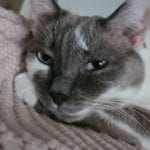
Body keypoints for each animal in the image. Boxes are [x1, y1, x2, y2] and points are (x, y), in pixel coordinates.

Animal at [14, 0, 150, 149]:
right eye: (44, 58)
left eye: (98, 64)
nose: (58, 95)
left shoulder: (142, 119)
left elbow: (99, 111)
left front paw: (26, 84)